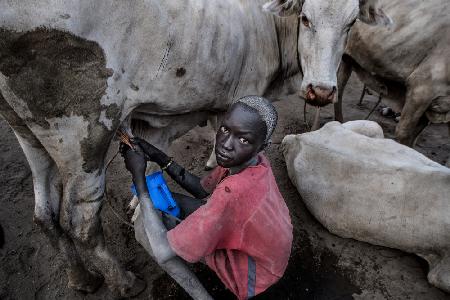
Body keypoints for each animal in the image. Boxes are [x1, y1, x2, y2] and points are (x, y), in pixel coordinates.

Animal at [0, 0, 304, 296]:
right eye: (306, 18)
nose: (316, 87)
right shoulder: (241, 93)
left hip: (27, 131)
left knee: (44, 213)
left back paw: (82, 278)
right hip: (83, 135)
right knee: (80, 223)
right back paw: (125, 283)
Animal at [264, 0, 450, 148]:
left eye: (352, 23)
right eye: (304, 18)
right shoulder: (421, 89)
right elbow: (404, 135)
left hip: (344, 62)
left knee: (338, 92)